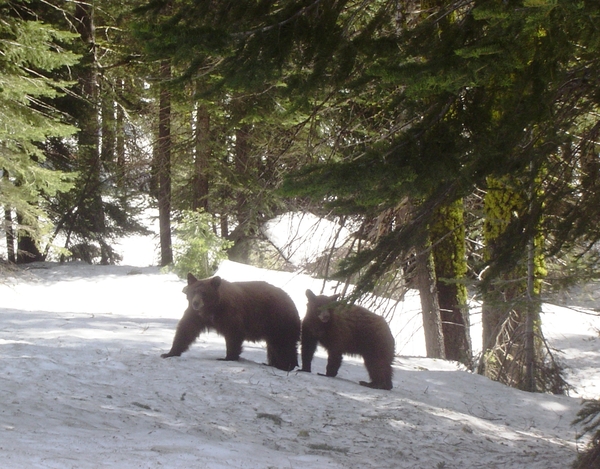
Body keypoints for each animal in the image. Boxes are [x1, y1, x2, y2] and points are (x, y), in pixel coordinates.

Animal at [161, 274, 300, 370]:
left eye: (204, 293)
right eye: (193, 291)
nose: (196, 303)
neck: (212, 308)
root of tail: (292, 302)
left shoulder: (230, 313)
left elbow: (233, 334)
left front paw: (227, 357)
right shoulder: (196, 315)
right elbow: (186, 330)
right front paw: (169, 353)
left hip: (278, 321)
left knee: (282, 345)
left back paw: (285, 365)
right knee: (275, 346)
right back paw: (274, 363)